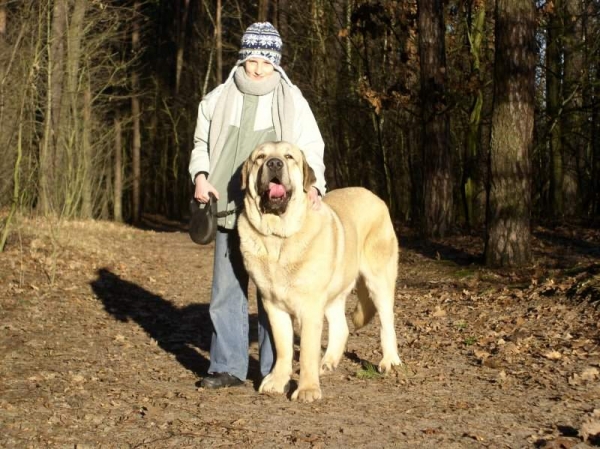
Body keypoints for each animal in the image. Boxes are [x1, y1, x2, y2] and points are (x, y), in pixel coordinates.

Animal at [237, 142, 400, 400]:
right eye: (260, 157)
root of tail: (374, 196)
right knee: (341, 327)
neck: (277, 239)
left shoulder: (310, 306)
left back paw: (389, 361)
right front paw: (277, 381)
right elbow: (283, 347)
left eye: (288, 156)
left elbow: (306, 351)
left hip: (379, 281)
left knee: (386, 322)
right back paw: (327, 362)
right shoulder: (273, 305)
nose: (274, 163)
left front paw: (307, 390)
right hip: (334, 291)